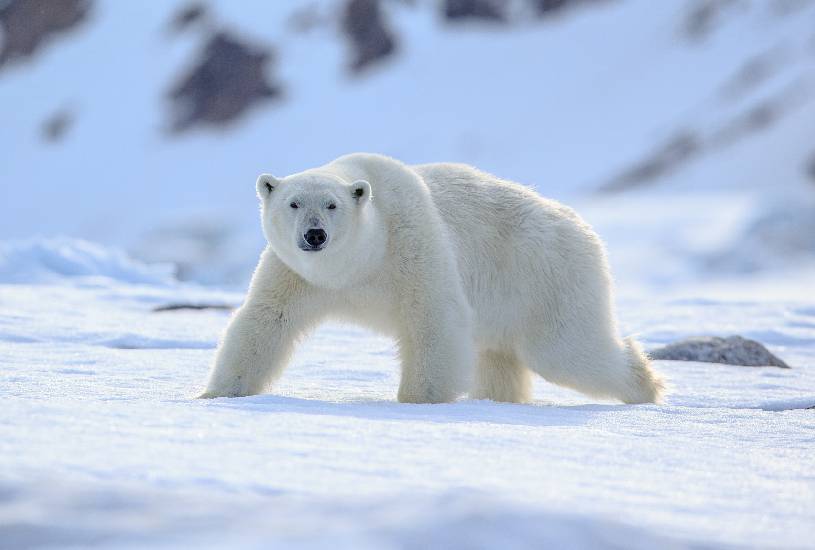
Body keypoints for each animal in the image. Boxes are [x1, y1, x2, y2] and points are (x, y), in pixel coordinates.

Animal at [198, 153, 664, 404]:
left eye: (332, 205)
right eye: (293, 203)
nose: (315, 235)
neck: (358, 264)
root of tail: (582, 228)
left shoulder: (411, 243)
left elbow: (433, 318)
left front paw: (418, 401)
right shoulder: (295, 274)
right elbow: (265, 321)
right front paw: (216, 394)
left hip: (547, 276)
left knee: (567, 350)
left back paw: (647, 386)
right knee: (499, 357)